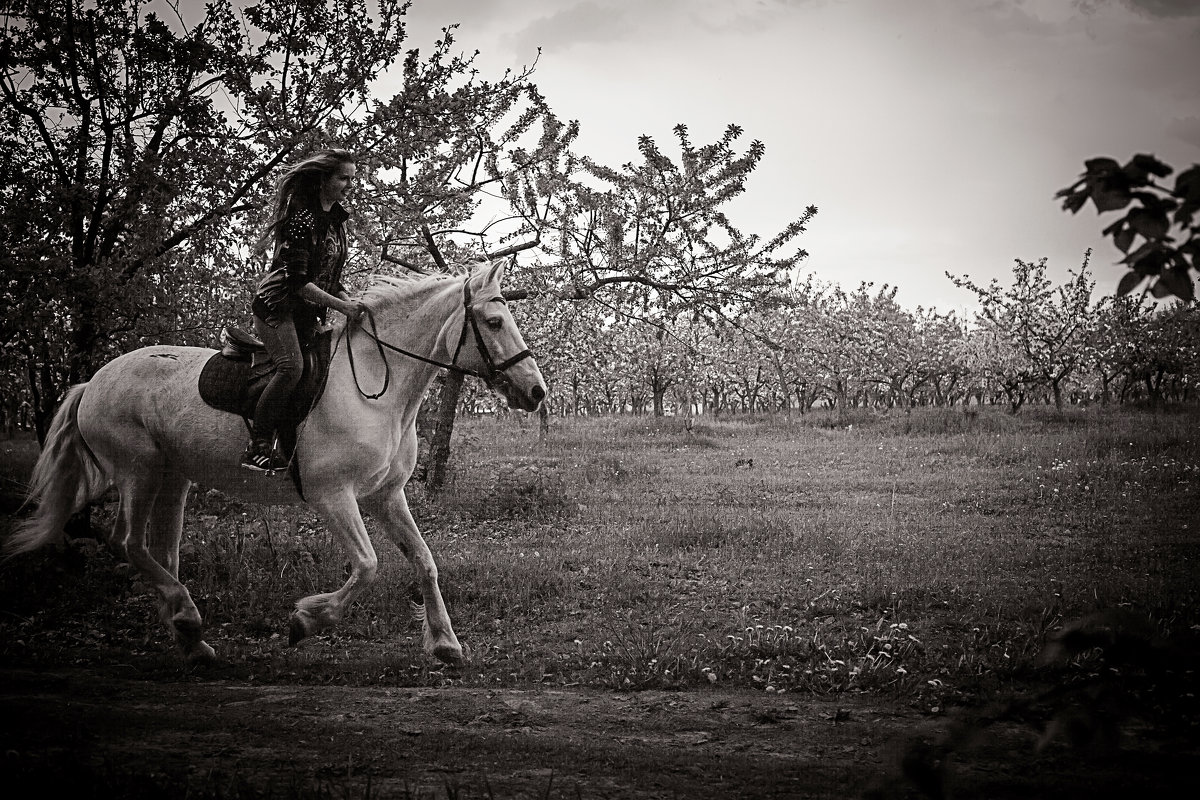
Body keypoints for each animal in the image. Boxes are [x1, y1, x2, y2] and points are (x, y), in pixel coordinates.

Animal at [4, 261, 547, 662]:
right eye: (494, 322)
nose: (536, 392)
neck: (378, 386)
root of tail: (93, 381)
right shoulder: (333, 495)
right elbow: (368, 565)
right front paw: (305, 621)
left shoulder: (384, 495)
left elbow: (425, 560)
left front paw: (446, 644)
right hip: (138, 472)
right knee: (128, 544)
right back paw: (188, 620)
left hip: (173, 477)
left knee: (160, 552)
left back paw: (192, 639)